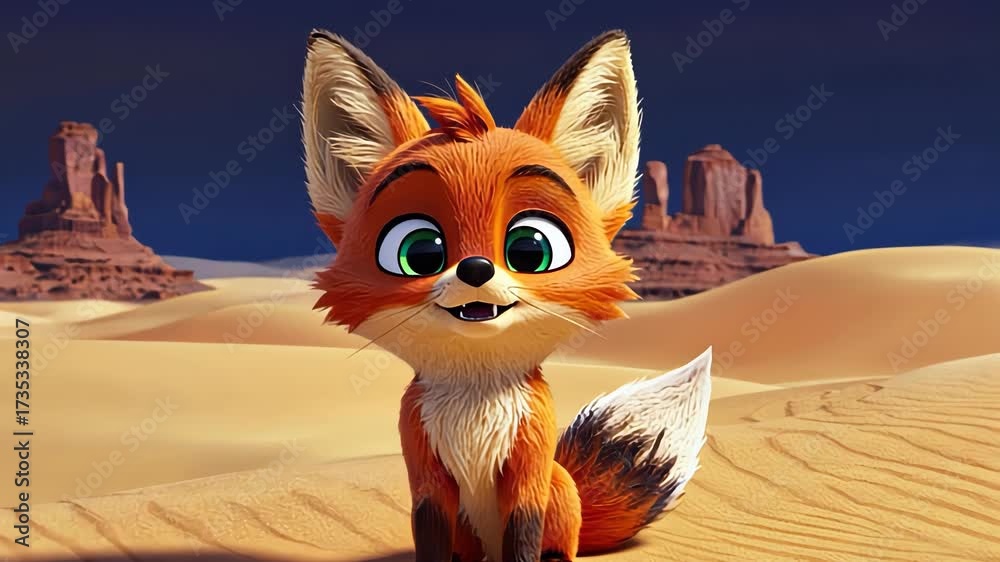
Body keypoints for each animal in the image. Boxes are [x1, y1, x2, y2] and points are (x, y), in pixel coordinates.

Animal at [301, 29, 712, 562]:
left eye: (530, 249)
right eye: (420, 252)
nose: (475, 268)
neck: (475, 399)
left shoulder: (528, 463)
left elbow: (524, 536)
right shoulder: (425, 472)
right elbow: (428, 533)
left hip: (557, 487)